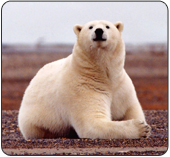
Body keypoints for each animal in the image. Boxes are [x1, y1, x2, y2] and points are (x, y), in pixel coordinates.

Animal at [18, 20, 150, 139]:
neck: (103, 75)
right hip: (36, 119)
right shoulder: (84, 87)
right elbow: (92, 122)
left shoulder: (122, 87)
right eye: (90, 27)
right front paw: (140, 128)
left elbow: (131, 109)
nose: (98, 31)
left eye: (107, 26)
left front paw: (144, 125)